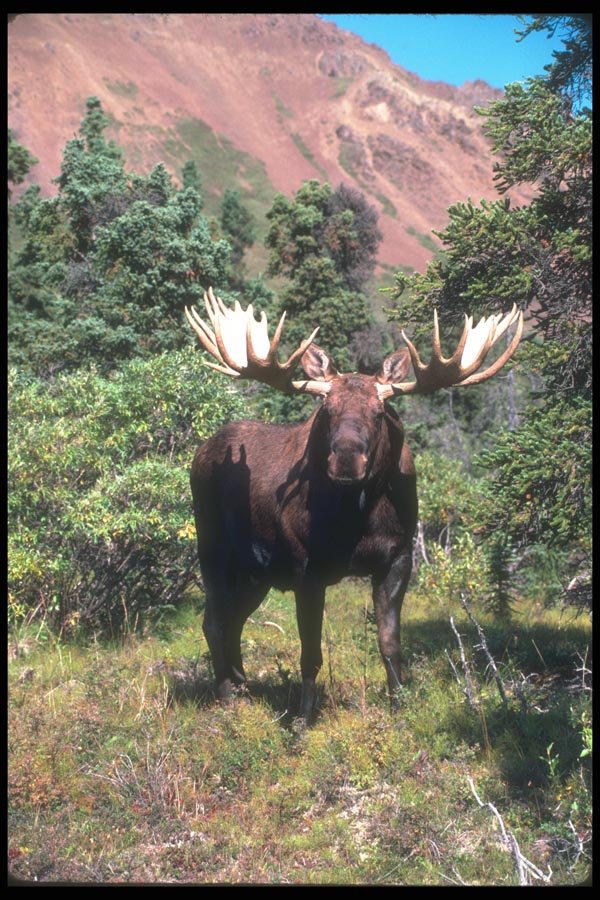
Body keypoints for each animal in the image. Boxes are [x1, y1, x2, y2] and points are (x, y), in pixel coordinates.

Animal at [185, 288, 523, 721]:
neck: (358, 518)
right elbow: (310, 654)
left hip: (256, 572)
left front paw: (399, 707)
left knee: (235, 620)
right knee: (213, 621)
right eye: (326, 411)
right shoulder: (306, 568)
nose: (347, 458)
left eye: (379, 413)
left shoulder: (397, 559)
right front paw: (302, 719)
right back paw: (226, 695)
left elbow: (390, 644)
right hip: (213, 549)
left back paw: (242, 684)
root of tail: (200, 453)